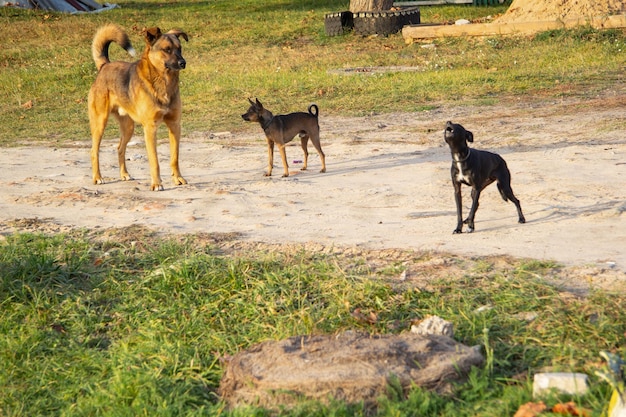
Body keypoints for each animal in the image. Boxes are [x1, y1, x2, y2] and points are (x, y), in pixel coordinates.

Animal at [88, 23, 186, 189]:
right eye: (167, 49)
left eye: (179, 48)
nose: (183, 63)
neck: (163, 81)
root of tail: (105, 66)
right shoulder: (150, 128)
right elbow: (154, 161)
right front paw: (156, 184)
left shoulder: (174, 125)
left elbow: (175, 158)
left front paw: (178, 178)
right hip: (99, 123)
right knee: (94, 151)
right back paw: (97, 177)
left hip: (128, 127)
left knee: (120, 148)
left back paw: (124, 174)